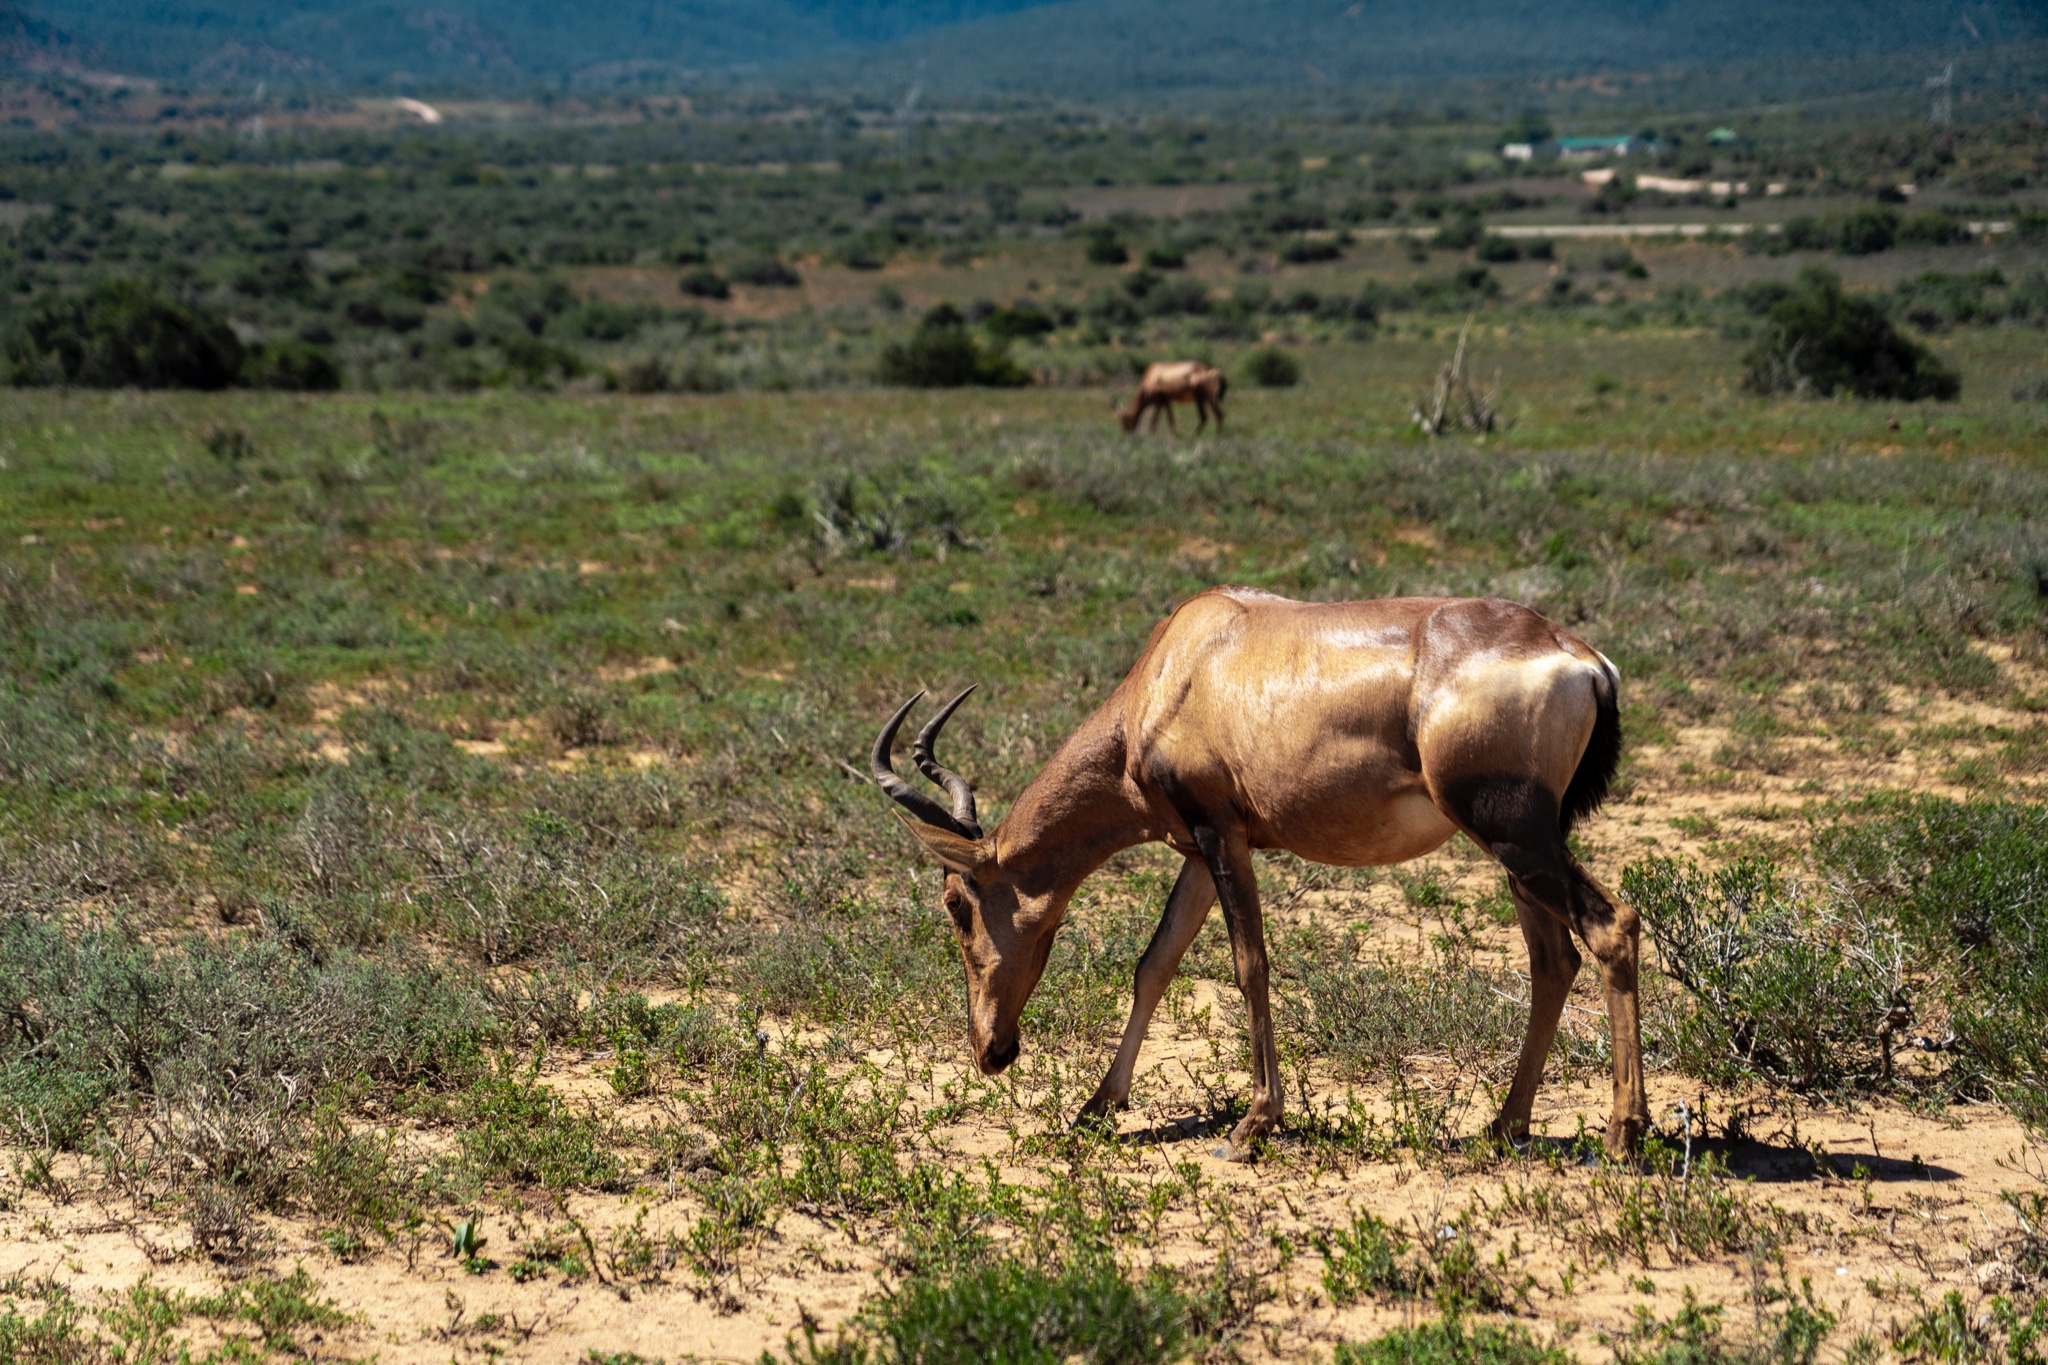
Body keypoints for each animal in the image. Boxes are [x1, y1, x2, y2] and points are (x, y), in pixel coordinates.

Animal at [868, 589, 1646, 1162]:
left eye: (956, 903)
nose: (991, 1050)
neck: (1183, 659)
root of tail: (1581, 659)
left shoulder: (1224, 833)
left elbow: (1250, 965)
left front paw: (1253, 1123)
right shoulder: (1194, 848)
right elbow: (1154, 964)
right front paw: (1098, 1105)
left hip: (1513, 833)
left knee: (1611, 925)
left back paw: (1622, 1134)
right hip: (1519, 848)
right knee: (1553, 960)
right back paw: (1505, 1125)